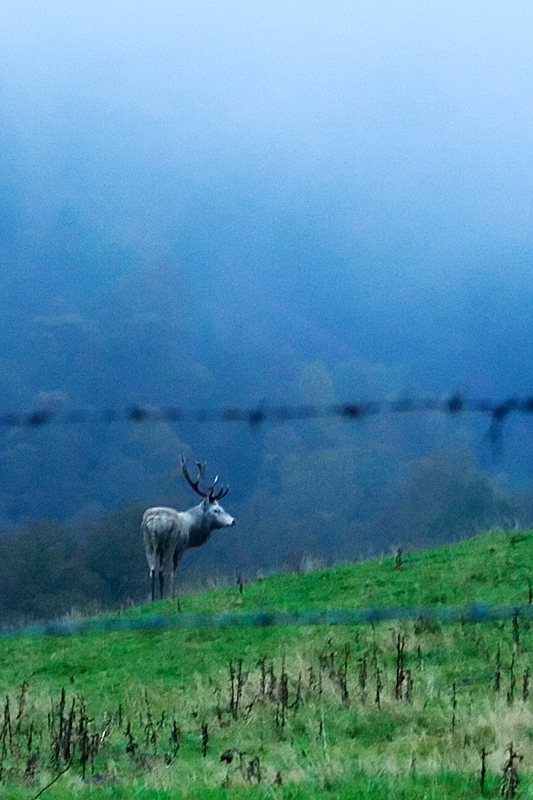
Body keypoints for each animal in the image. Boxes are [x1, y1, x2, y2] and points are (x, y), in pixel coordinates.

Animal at [141, 456, 236, 601]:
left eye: (221, 507)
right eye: (216, 510)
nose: (233, 521)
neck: (191, 530)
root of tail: (154, 522)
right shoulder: (181, 547)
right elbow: (174, 572)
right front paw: (172, 595)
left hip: (148, 543)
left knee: (152, 570)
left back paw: (153, 599)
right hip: (169, 542)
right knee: (162, 570)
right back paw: (163, 598)